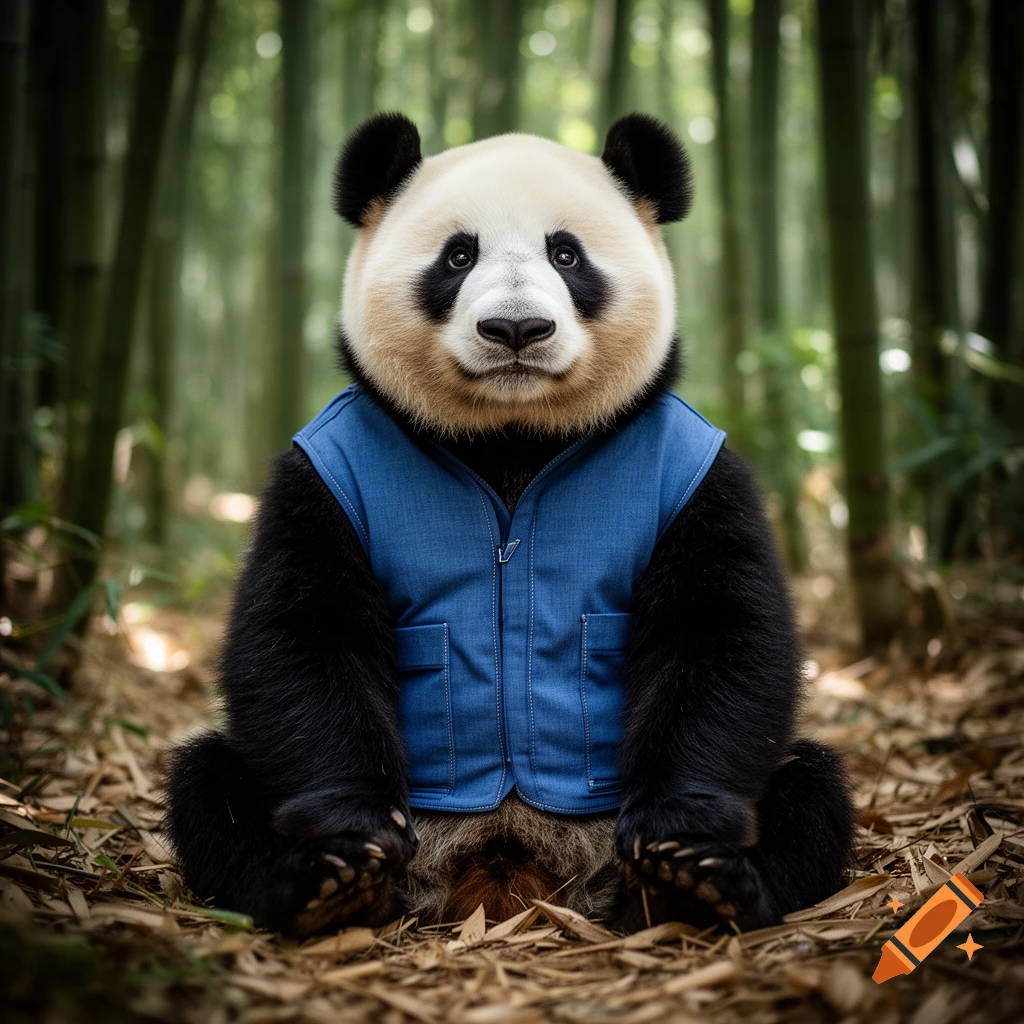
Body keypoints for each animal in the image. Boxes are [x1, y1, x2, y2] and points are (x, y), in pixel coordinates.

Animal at [166, 112, 853, 937]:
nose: (517, 329)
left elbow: (719, 629)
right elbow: (303, 632)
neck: (513, 435)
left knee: (815, 785)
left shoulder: (694, 471)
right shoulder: (326, 473)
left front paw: (680, 834)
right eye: (458, 255)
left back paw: (697, 883)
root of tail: (507, 873)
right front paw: (349, 833)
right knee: (206, 781)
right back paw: (327, 884)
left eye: (567, 254)